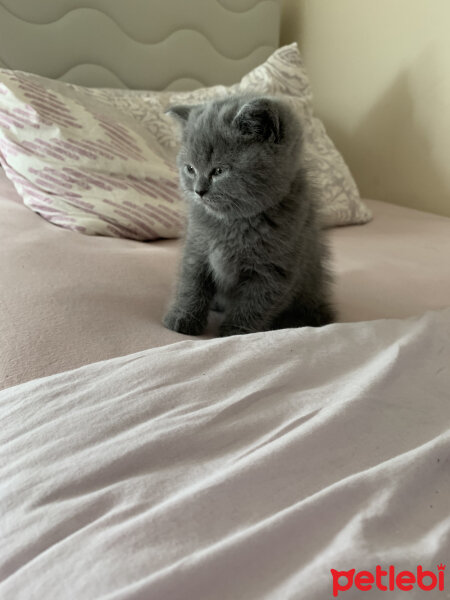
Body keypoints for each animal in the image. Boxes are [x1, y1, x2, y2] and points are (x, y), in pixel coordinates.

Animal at [163, 95, 334, 336]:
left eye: (219, 171)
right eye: (190, 169)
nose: (198, 190)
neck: (232, 223)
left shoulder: (274, 269)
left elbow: (254, 304)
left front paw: (234, 332)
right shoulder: (196, 247)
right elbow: (191, 284)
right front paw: (183, 318)